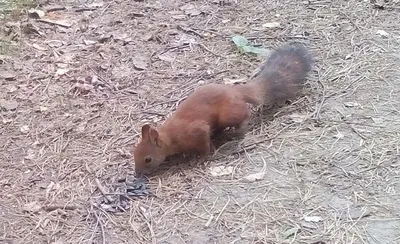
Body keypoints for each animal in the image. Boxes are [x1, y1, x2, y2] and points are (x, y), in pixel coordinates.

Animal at [133, 43, 314, 174]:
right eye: (133, 152)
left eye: (148, 159)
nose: (138, 173)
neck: (170, 137)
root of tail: (236, 91)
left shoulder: (195, 131)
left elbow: (203, 145)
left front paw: (201, 157)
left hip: (229, 114)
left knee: (244, 116)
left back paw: (234, 132)